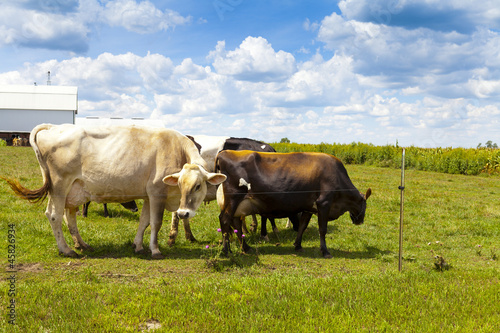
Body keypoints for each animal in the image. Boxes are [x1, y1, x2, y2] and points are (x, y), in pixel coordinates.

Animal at [1, 123, 225, 258]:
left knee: (69, 217)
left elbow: (144, 221)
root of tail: (54, 127)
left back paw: (82, 245)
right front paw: (154, 249)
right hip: (59, 185)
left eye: (197, 186)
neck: (176, 149)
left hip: (73, 188)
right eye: (179, 184)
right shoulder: (157, 192)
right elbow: (156, 222)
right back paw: (66, 249)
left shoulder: (147, 195)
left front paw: (138, 245)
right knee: (54, 215)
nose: (183, 212)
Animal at [215, 150, 372, 256]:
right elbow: (322, 229)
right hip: (233, 198)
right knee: (225, 219)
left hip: (238, 204)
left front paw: (297, 245)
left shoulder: (310, 207)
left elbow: (302, 226)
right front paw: (325, 251)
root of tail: (224, 152)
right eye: (364, 205)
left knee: (236, 224)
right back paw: (226, 250)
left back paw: (245, 248)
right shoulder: (324, 203)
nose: (360, 221)